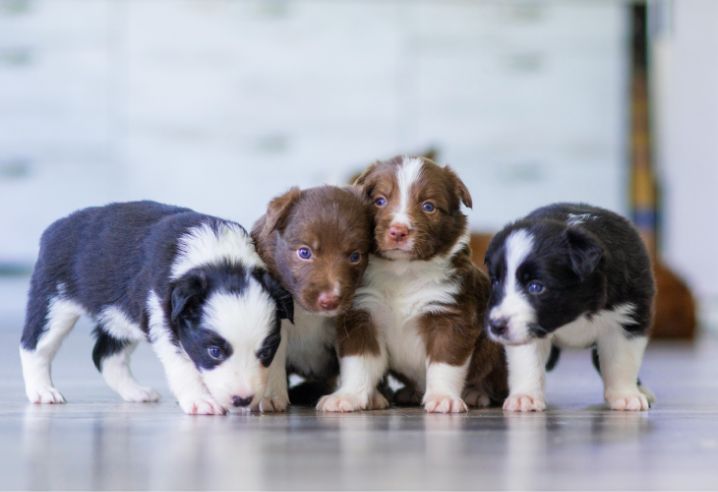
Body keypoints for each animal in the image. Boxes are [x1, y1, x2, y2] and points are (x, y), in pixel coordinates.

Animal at [20, 202, 296, 414]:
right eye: (215, 352)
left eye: (265, 352)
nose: (242, 400)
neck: (221, 261)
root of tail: (58, 226)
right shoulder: (164, 319)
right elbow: (183, 367)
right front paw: (200, 400)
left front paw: (270, 395)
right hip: (53, 302)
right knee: (34, 346)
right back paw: (42, 390)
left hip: (119, 318)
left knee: (106, 356)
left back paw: (135, 392)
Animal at [253, 185, 374, 408]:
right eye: (304, 252)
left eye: (355, 256)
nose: (330, 301)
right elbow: (271, 358)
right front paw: (269, 396)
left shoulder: (354, 314)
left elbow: (358, 355)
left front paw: (349, 397)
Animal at [318, 156, 510, 414]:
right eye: (380, 200)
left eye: (428, 206)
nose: (398, 231)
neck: (402, 273)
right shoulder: (361, 316)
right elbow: (358, 362)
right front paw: (347, 396)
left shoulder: (450, 315)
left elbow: (444, 363)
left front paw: (443, 397)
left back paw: (476, 393)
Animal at [484, 203, 660, 412]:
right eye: (495, 282)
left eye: (536, 286)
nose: (496, 326)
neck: (578, 313)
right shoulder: (530, 329)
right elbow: (528, 362)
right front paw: (524, 397)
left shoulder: (628, 318)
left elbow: (621, 361)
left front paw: (625, 396)